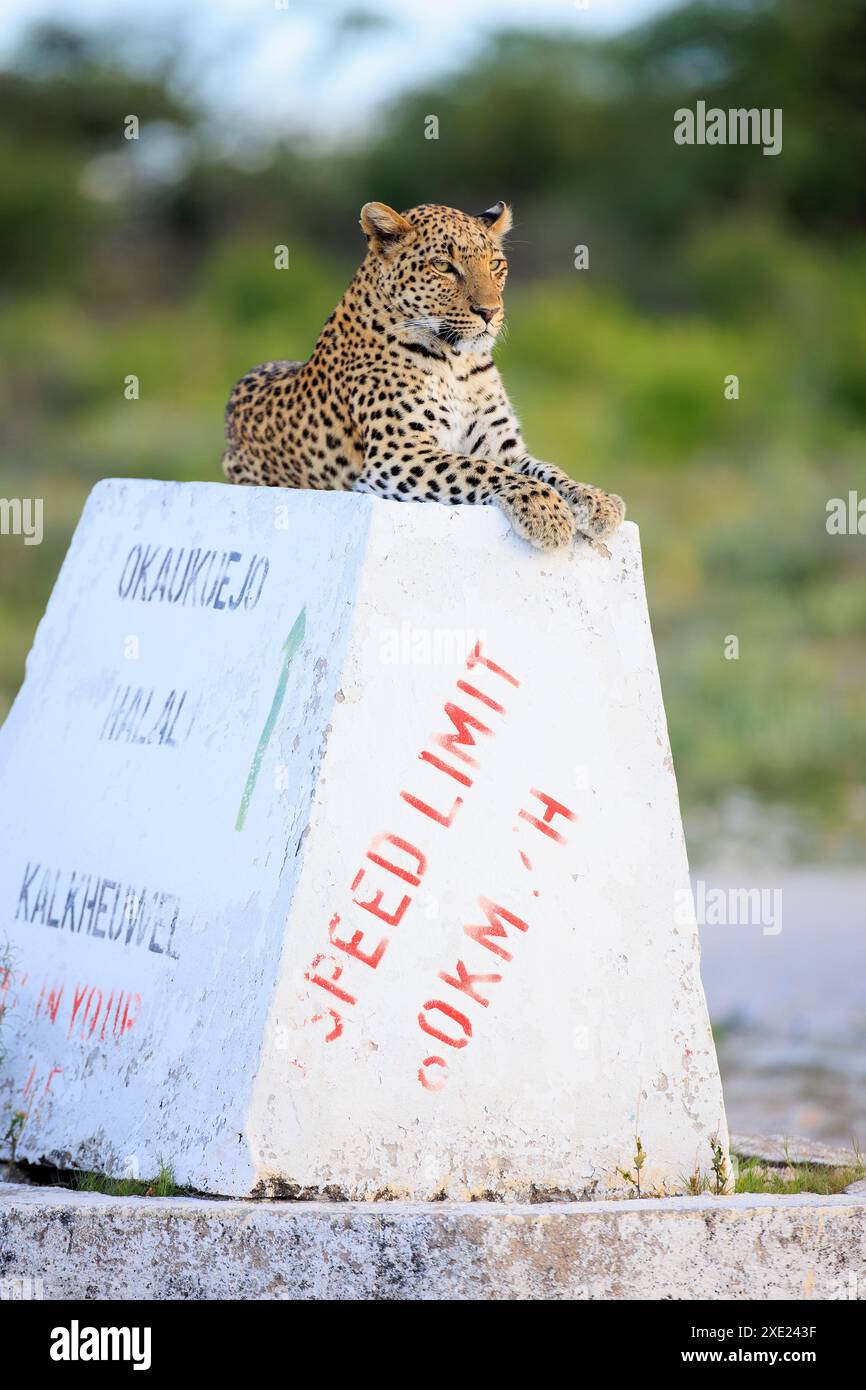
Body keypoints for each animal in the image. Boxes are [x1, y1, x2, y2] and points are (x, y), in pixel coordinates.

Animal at [222, 200, 625, 553]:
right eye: (444, 266)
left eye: (495, 263)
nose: (490, 312)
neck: (458, 363)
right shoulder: (397, 453)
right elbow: (482, 470)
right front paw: (547, 512)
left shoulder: (503, 447)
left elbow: (547, 469)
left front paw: (596, 499)